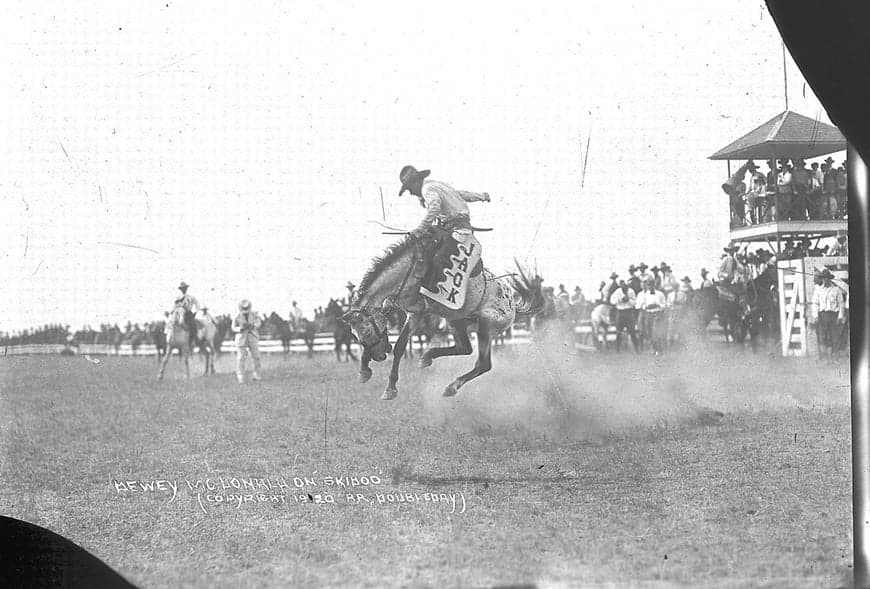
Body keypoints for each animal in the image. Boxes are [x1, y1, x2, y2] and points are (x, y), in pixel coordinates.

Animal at [340, 230, 544, 400]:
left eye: (367, 332)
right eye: (355, 335)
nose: (379, 356)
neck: (411, 270)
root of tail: (512, 302)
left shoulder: (418, 312)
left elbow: (399, 346)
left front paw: (387, 386)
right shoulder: (406, 311)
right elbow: (399, 346)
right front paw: (368, 373)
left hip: (486, 326)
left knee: (483, 363)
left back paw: (451, 386)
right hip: (456, 321)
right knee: (465, 348)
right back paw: (427, 357)